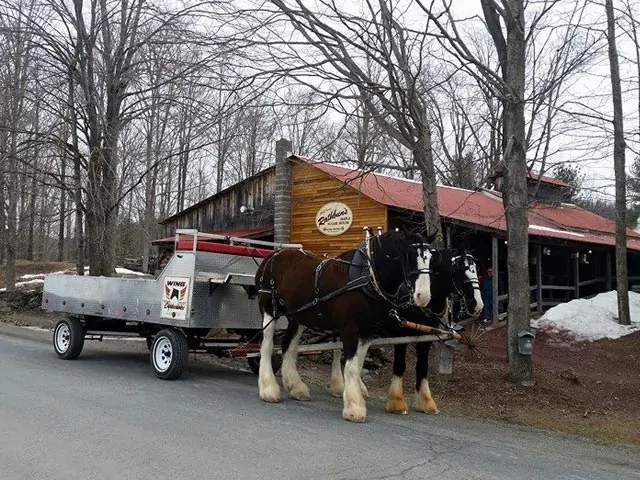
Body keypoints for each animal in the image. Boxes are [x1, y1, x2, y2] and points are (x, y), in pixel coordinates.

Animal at [252, 231, 432, 422]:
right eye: (410, 256)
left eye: (431, 257)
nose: (423, 296)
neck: (367, 277)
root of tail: (272, 256)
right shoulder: (349, 328)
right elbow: (351, 366)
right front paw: (354, 407)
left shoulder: (367, 332)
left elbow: (357, 365)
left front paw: (354, 396)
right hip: (269, 308)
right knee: (267, 346)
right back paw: (268, 389)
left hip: (297, 316)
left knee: (288, 347)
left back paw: (296, 387)